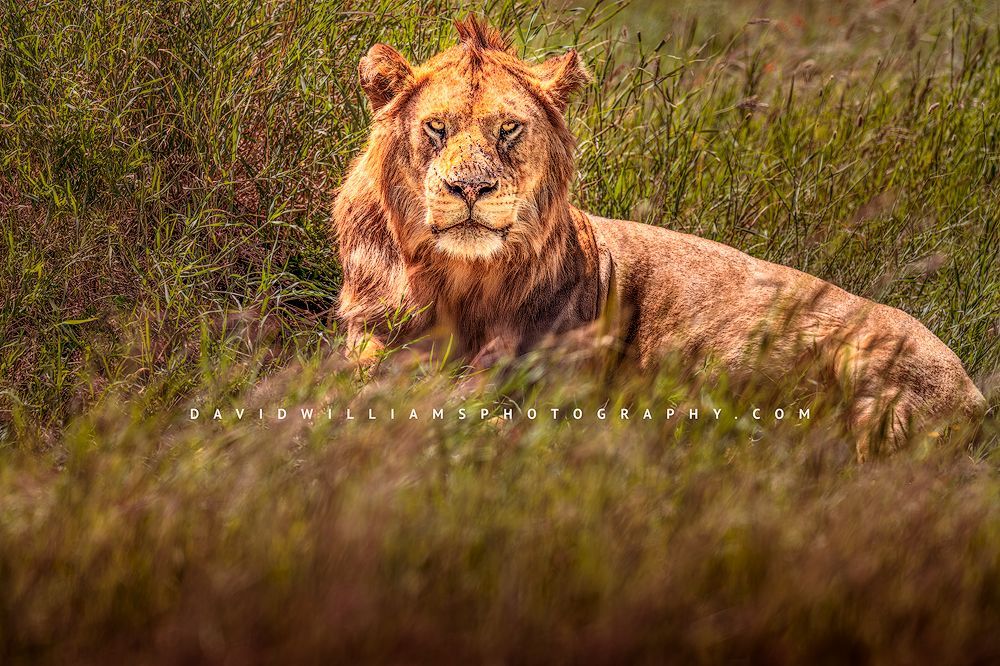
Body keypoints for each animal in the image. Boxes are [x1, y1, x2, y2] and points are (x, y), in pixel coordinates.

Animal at [333, 16, 986, 459]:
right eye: (436, 128)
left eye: (509, 129)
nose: (471, 187)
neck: (459, 281)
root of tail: (976, 392)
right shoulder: (369, 333)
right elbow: (365, 385)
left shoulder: (545, 381)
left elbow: (473, 410)